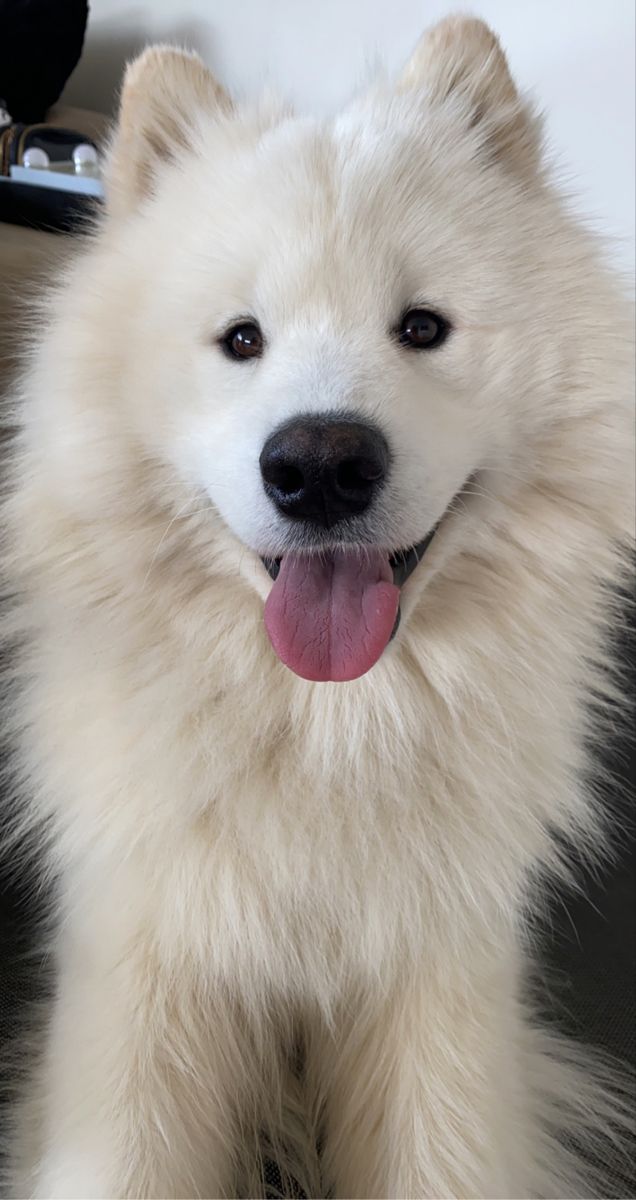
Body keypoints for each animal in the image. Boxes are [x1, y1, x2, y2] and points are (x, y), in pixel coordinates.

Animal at [2, 11, 628, 1200]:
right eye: (241, 339)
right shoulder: (150, 992)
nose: (322, 466)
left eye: (423, 328)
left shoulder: (436, 1001)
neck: (327, 730)